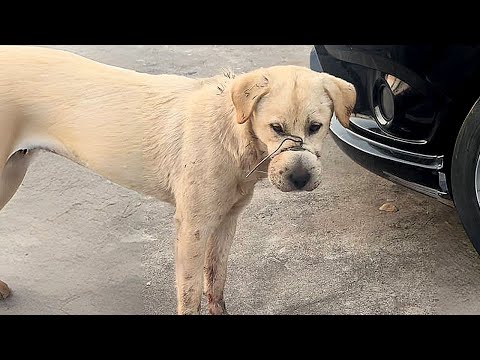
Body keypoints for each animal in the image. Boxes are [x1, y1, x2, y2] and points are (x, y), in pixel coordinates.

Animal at [0, 45, 352, 316]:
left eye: (316, 127)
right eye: (276, 128)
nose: (300, 177)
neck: (231, 130)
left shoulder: (227, 219)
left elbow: (216, 279)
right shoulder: (192, 227)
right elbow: (190, 292)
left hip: (12, 172)